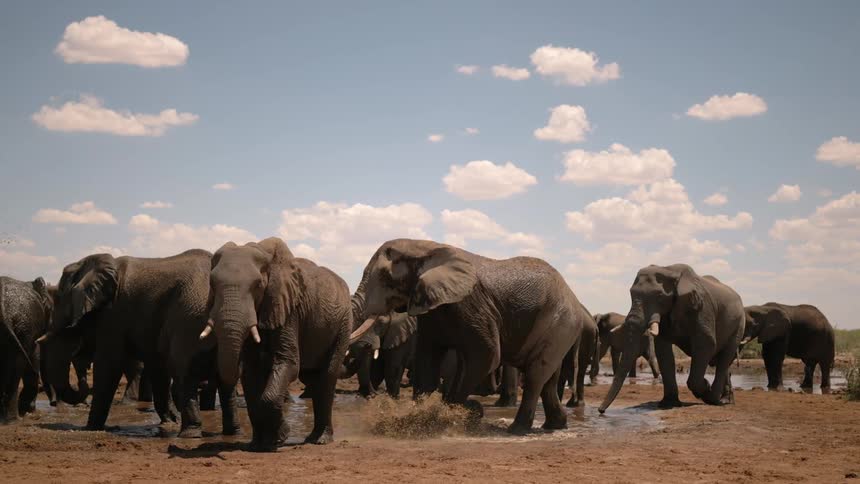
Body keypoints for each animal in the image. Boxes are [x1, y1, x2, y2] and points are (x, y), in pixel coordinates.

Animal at [0, 276, 52, 422]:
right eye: (50, 309)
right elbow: (34, 357)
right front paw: (29, 410)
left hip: (23, 324)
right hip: (25, 325)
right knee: (18, 364)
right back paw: (13, 419)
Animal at [39, 250, 239, 438]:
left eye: (60, 298)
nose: (82, 382)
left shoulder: (113, 315)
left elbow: (108, 365)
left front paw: (90, 428)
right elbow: (157, 368)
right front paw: (169, 422)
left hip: (189, 318)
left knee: (183, 371)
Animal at [202, 237, 350, 451]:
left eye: (257, 285)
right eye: (212, 284)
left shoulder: (289, 309)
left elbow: (288, 363)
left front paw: (281, 437)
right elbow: (252, 372)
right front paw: (259, 445)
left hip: (343, 324)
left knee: (327, 375)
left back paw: (320, 440)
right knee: (312, 377)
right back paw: (310, 437)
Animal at [349, 239, 588, 435]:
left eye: (385, 277)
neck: (426, 247)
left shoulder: (471, 303)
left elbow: (486, 355)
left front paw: (453, 414)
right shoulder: (432, 305)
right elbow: (428, 357)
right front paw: (421, 418)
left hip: (560, 322)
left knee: (535, 375)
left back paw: (517, 429)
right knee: (549, 378)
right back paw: (555, 425)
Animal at [599, 264, 745, 413]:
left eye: (659, 296)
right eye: (631, 294)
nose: (600, 411)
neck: (669, 270)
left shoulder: (703, 308)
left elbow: (706, 343)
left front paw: (706, 387)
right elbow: (664, 351)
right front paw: (668, 404)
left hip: (739, 324)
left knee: (724, 358)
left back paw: (715, 400)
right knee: (722, 361)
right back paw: (725, 400)